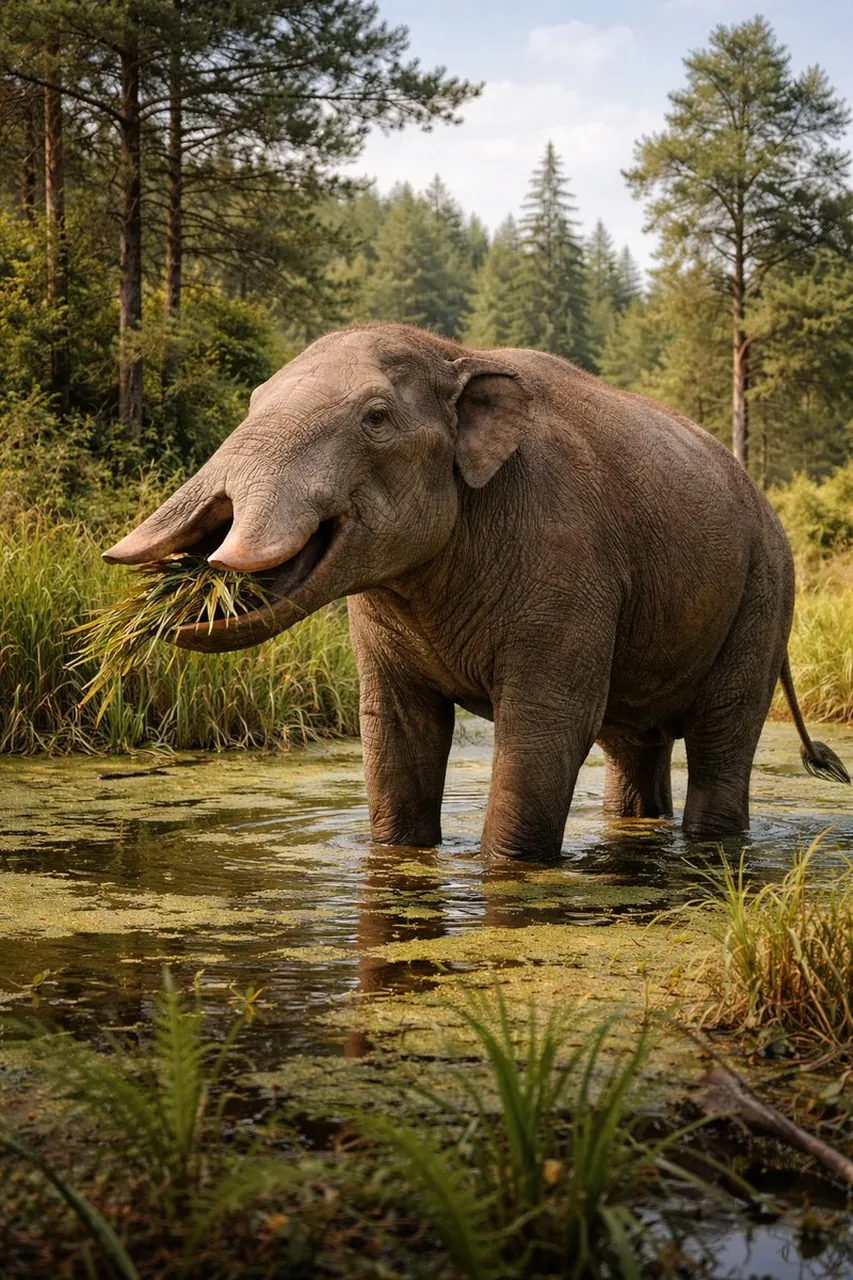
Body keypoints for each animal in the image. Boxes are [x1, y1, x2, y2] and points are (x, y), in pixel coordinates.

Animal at [104, 323, 849, 859]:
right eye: (254, 400)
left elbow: (548, 723)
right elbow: (396, 726)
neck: (455, 354)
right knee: (632, 746)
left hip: (763, 596)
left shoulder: (566, 560)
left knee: (722, 738)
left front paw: (505, 867)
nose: (193, 581)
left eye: (376, 418)